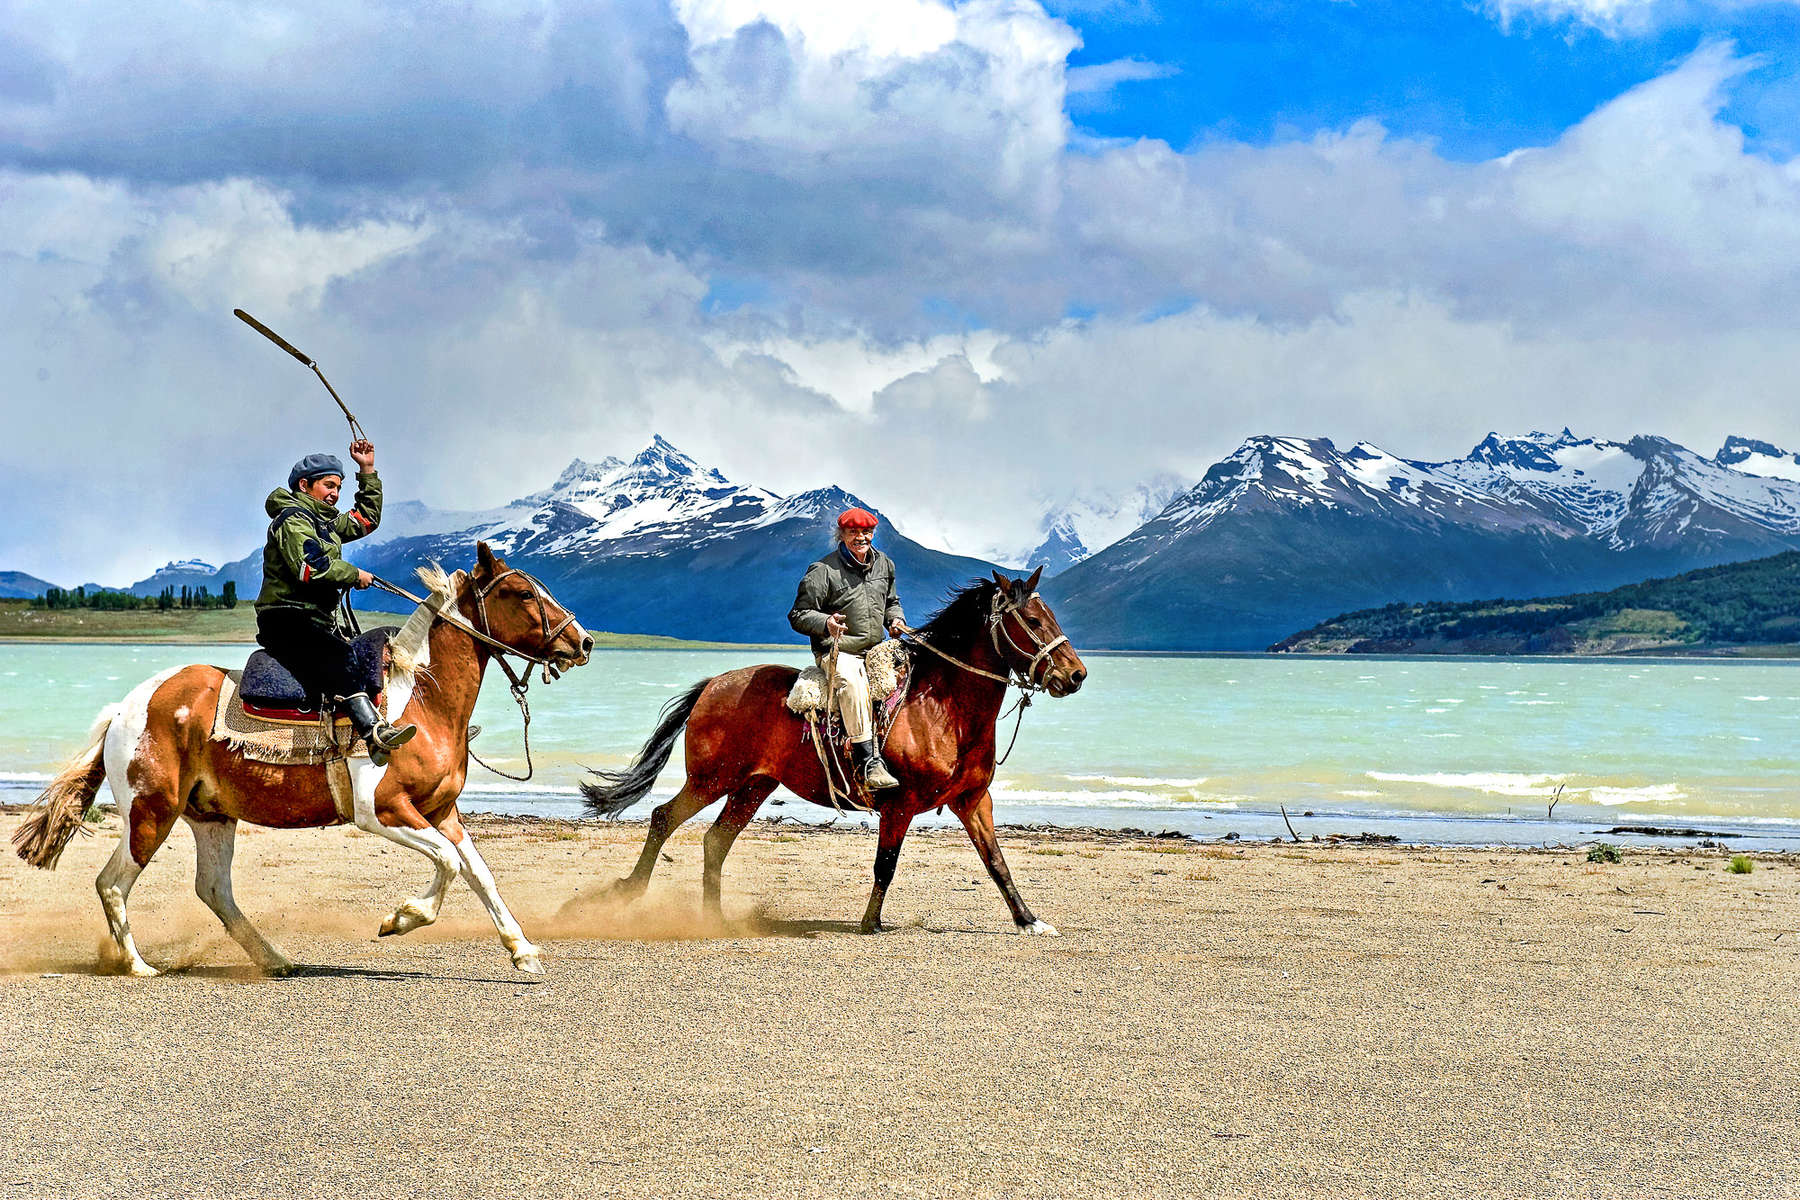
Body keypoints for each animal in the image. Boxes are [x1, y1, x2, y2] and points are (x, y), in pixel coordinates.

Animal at [15, 543, 590, 978]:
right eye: (523, 593)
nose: (583, 642)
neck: (419, 698)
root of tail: (125, 709)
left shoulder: (440, 811)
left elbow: (479, 873)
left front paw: (522, 951)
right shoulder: (381, 811)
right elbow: (449, 864)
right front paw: (400, 918)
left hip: (211, 817)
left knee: (213, 889)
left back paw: (275, 959)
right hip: (151, 811)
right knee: (112, 883)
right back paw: (138, 966)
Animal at [579, 572, 1080, 935]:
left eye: (1051, 615)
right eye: (1033, 622)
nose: (1076, 674)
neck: (942, 707)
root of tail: (713, 686)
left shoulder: (973, 801)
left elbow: (997, 862)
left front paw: (1029, 921)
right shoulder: (899, 805)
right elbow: (885, 865)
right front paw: (870, 924)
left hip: (752, 786)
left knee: (716, 840)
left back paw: (714, 919)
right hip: (712, 780)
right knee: (664, 817)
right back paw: (629, 892)